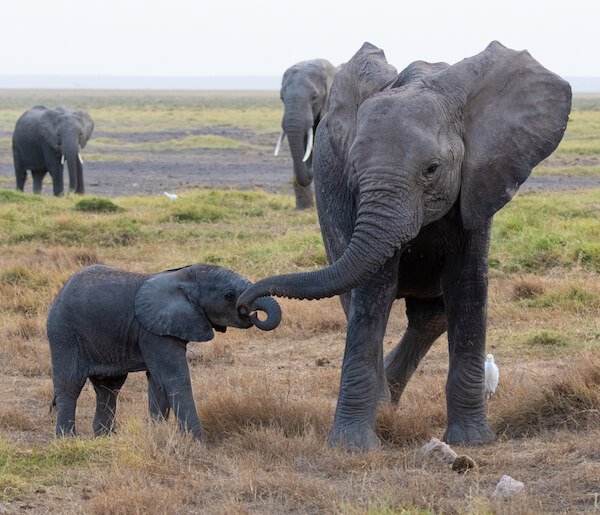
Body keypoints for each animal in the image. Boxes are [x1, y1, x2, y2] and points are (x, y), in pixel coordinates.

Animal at [47, 266, 282, 440]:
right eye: (229, 295)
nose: (252, 314)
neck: (183, 278)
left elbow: (157, 382)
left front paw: (157, 434)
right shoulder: (153, 331)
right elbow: (174, 378)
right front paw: (197, 444)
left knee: (109, 387)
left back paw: (105, 438)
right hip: (64, 334)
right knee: (70, 384)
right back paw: (67, 440)